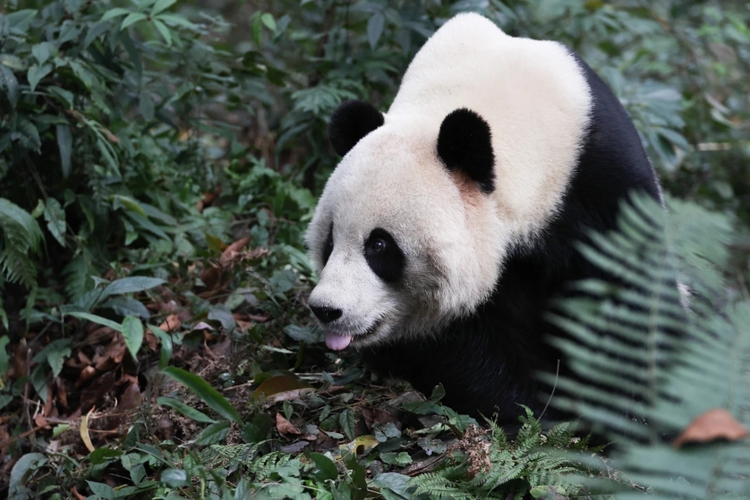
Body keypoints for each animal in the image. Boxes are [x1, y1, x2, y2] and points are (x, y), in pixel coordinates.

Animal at [306, 12, 664, 426]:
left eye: (379, 245)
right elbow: (464, 345)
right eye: (329, 241)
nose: (326, 309)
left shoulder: (598, 182)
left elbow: (625, 299)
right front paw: (531, 407)